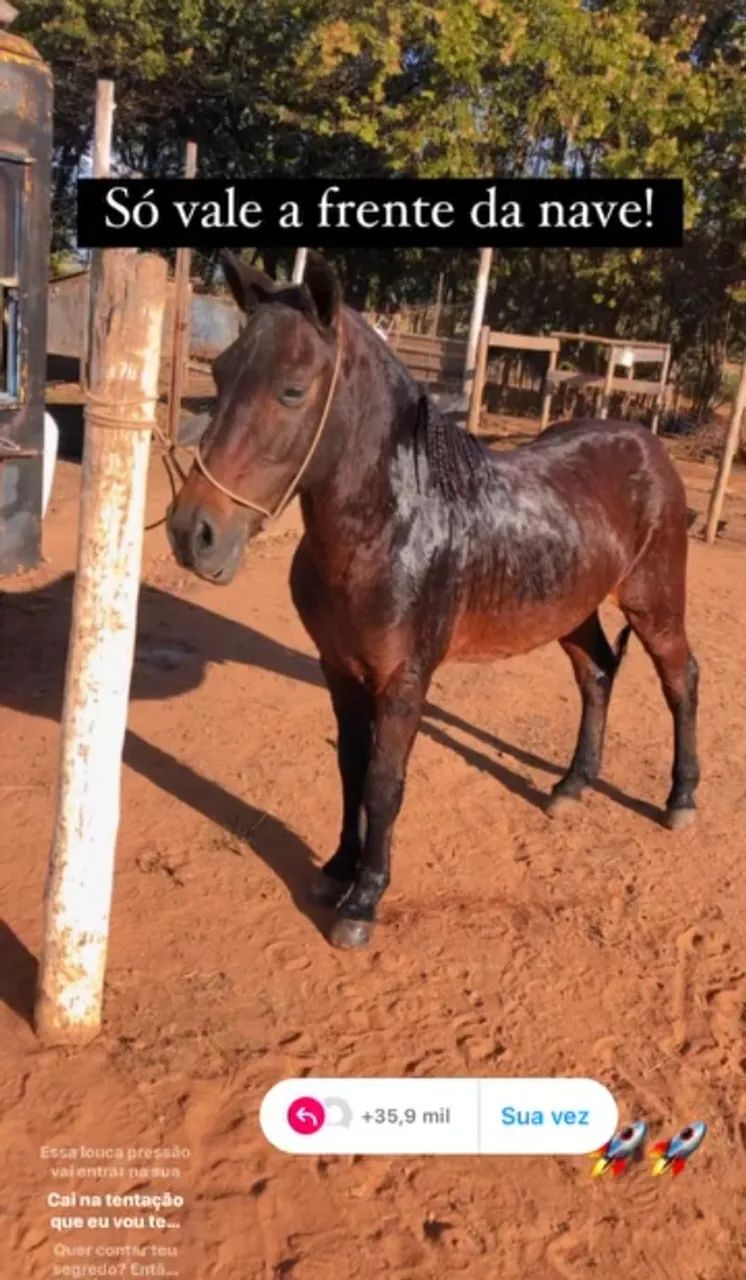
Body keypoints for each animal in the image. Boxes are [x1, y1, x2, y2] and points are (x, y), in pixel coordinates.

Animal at [167, 250, 700, 950]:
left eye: (293, 389)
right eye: (222, 372)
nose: (193, 533)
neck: (394, 525)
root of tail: (648, 444)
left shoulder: (404, 678)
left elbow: (383, 782)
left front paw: (364, 901)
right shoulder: (339, 670)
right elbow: (351, 768)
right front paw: (336, 870)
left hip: (654, 603)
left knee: (680, 681)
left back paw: (680, 800)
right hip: (574, 610)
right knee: (597, 675)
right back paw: (571, 785)